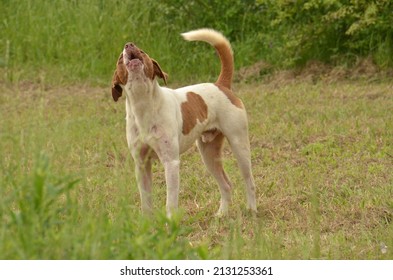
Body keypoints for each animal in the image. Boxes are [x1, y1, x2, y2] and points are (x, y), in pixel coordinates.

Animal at [111, 29, 258, 217]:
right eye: (119, 59)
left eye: (142, 52)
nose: (129, 44)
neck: (144, 105)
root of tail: (221, 85)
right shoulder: (142, 165)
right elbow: (146, 202)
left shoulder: (171, 163)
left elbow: (170, 203)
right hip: (209, 155)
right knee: (226, 184)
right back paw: (222, 214)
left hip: (239, 146)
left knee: (249, 181)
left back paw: (252, 209)